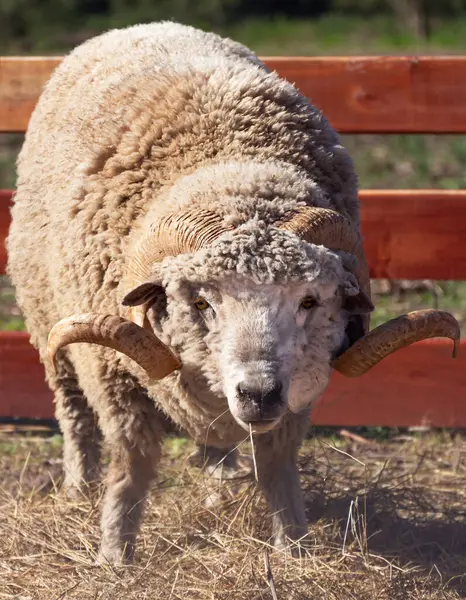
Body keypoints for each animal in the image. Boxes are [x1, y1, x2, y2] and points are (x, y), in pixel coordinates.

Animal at [7, 19, 458, 564]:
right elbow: (133, 466)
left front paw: (293, 549)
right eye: (201, 302)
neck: (231, 166)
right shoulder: (112, 374)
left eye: (310, 301)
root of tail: (147, 24)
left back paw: (218, 487)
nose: (258, 393)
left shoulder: (296, 392)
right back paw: (79, 488)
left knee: (214, 442)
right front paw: (115, 555)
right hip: (46, 325)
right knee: (74, 414)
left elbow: (278, 464)